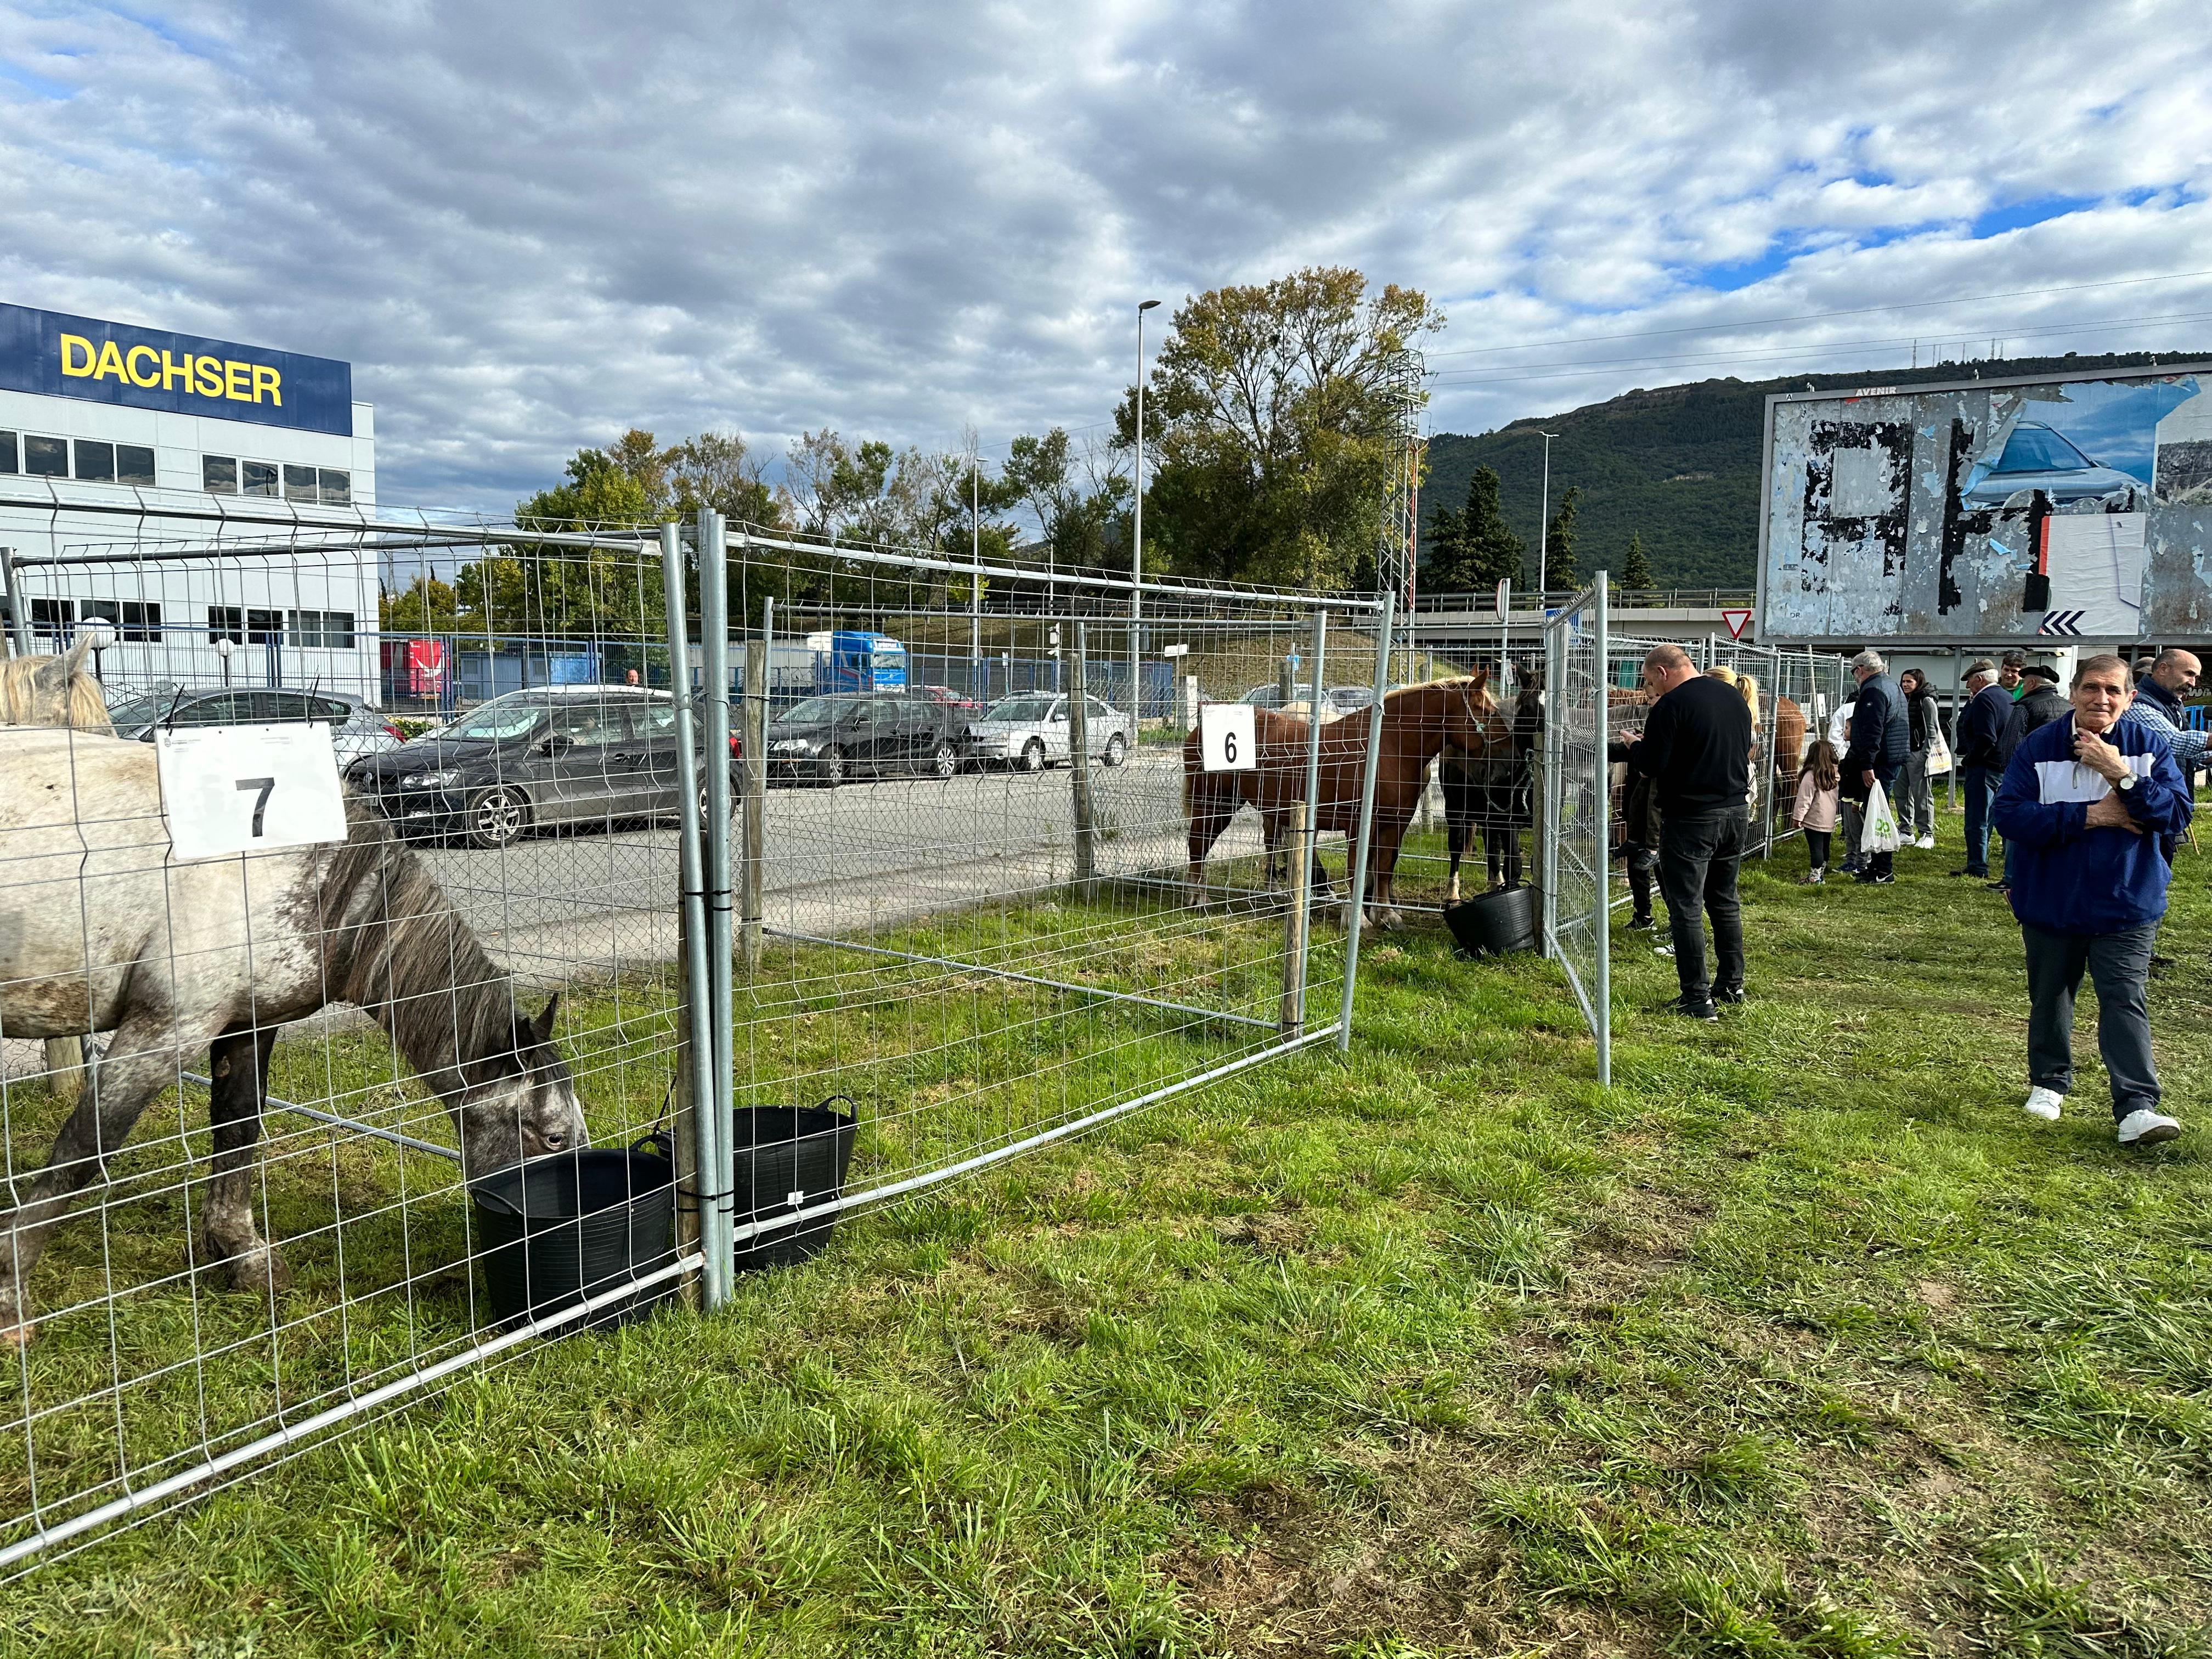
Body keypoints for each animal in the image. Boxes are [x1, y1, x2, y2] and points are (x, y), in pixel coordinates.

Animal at [1186, 676, 1513, 938]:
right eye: (1489, 712)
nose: (1509, 760)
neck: (1389, 747)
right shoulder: (1359, 825)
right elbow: (1357, 870)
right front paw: (1358, 920)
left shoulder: (1395, 823)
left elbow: (1383, 869)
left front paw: (1387, 914)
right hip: (1215, 803)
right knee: (1198, 843)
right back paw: (1198, 898)